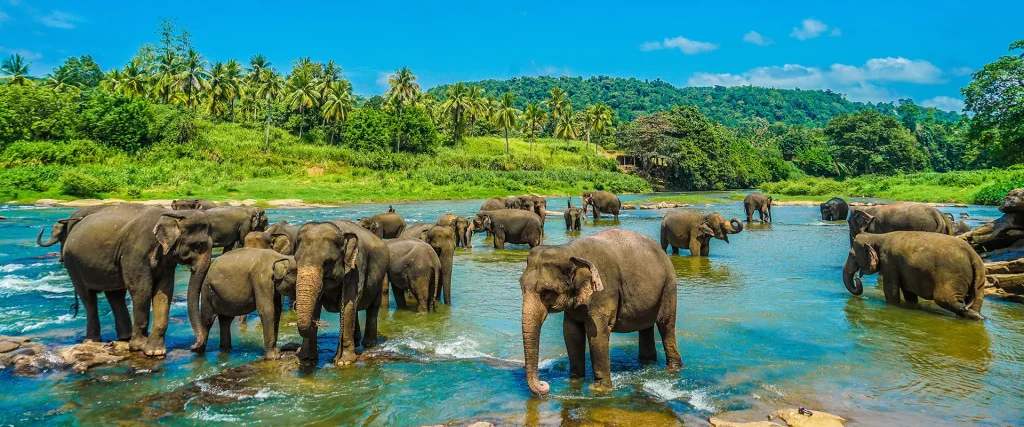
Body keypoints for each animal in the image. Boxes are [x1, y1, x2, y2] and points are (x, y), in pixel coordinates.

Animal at [62, 204, 213, 356]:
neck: (172, 214)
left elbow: (163, 291)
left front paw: (155, 351)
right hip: (72, 263)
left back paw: (125, 337)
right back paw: (93, 341)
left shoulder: (165, 260)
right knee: (88, 298)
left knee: (116, 295)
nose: (193, 346)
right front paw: (139, 346)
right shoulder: (136, 252)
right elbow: (142, 290)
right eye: (198, 245)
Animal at [294, 219, 388, 365]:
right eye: (296, 260)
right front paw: (306, 359)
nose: (315, 323)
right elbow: (317, 306)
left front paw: (344, 362)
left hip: (380, 279)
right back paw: (356, 340)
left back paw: (369, 344)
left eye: (328, 262)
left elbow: (348, 306)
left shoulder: (356, 268)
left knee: (372, 308)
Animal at [520, 229, 681, 396]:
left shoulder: (605, 291)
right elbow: (571, 333)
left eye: (546, 291)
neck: (570, 250)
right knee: (646, 328)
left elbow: (597, 333)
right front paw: (575, 381)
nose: (545, 385)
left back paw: (672, 369)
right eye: (521, 286)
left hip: (669, 286)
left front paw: (600, 389)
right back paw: (647, 364)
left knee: (665, 325)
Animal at [843, 231, 986, 320]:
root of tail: (972, 255)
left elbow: (891, 292)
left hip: (951, 277)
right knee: (975, 301)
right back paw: (978, 316)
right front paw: (912, 306)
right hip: (980, 278)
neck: (877, 236)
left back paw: (973, 315)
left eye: (852, 255)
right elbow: (909, 294)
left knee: (947, 301)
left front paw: (893, 306)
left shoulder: (889, 263)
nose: (857, 278)